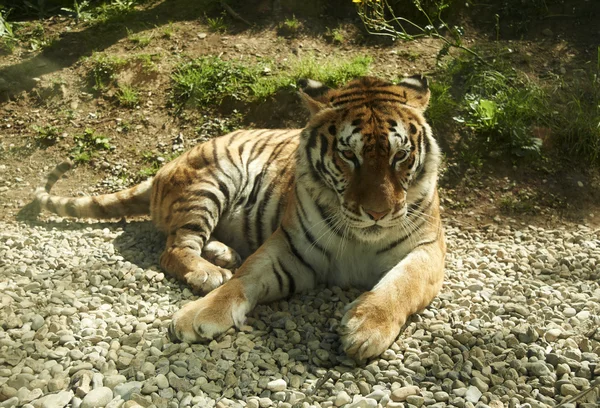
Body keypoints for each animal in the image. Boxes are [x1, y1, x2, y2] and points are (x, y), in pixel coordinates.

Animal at [34, 75, 446, 360]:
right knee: (173, 248)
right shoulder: (292, 248)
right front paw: (197, 315)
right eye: (349, 156)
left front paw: (365, 329)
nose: (378, 212)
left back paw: (222, 253)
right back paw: (209, 271)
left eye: (400, 156)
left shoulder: (428, 250)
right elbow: (243, 280)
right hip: (212, 182)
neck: (361, 237)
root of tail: (164, 168)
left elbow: (400, 285)